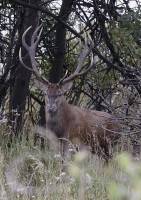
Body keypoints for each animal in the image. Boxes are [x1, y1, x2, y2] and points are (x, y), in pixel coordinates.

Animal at [19, 25, 121, 165]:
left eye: (60, 94)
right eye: (45, 93)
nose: (50, 107)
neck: (62, 131)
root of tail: (120, 125)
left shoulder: (77, 144)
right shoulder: (59, 147)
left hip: (110, 144)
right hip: (100, 149)